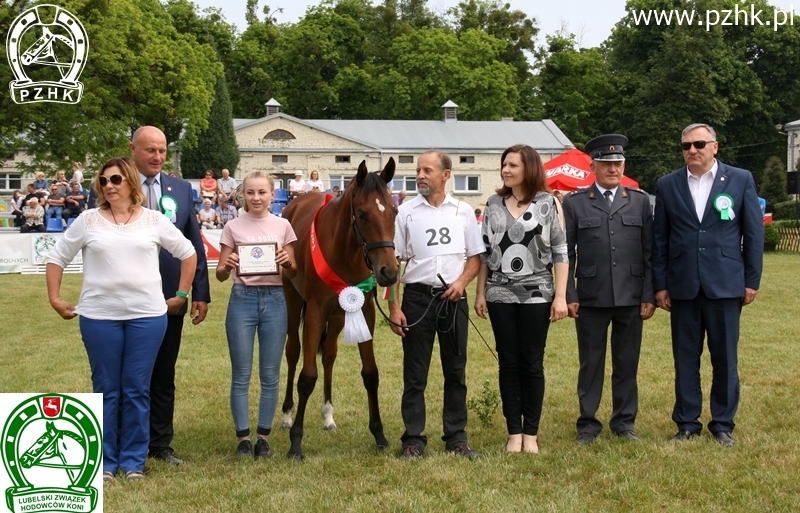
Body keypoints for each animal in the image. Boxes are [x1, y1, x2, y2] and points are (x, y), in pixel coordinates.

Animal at [280, 158, 398, 458]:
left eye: (394, 211)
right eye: (363, 214)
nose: (389, 272)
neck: (345, 250)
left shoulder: (365, 312)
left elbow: (370, 374)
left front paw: (380, 435)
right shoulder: (314, 311)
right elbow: (307, 376)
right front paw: (295, 443)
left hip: (337, 317)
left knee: (330, 355)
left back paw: (328, 415)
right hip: (293, 300)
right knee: (293, 352)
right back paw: (286, 415)